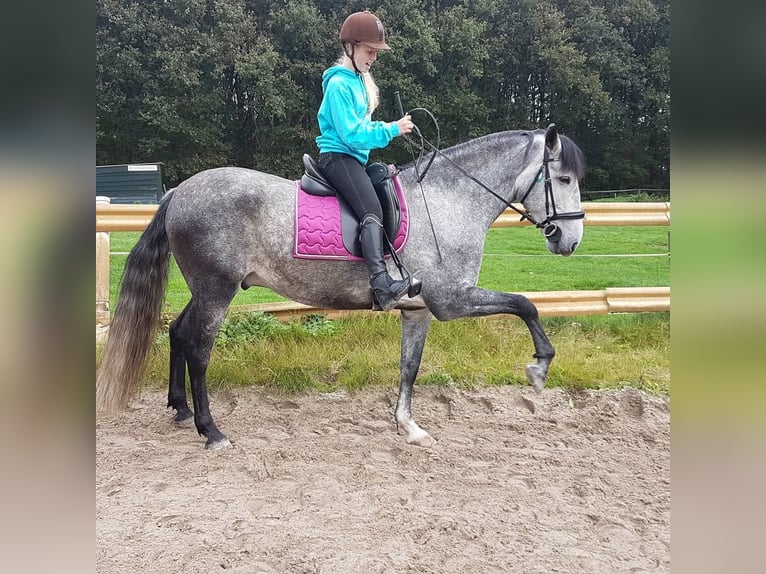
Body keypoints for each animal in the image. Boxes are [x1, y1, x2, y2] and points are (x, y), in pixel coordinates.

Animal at [97, 124, 588, 452]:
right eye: (564, 179)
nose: (570, 240)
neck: (449, 201)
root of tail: (178, 191)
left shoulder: (419, 310)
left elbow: (409, 368)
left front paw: (408, 426)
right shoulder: (452, 301)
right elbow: (525, 305)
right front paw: (539, 366)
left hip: (205, 291)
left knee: (178, 333)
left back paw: (180, 410)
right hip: (216, 291)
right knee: (199, 350)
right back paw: (211, 431)